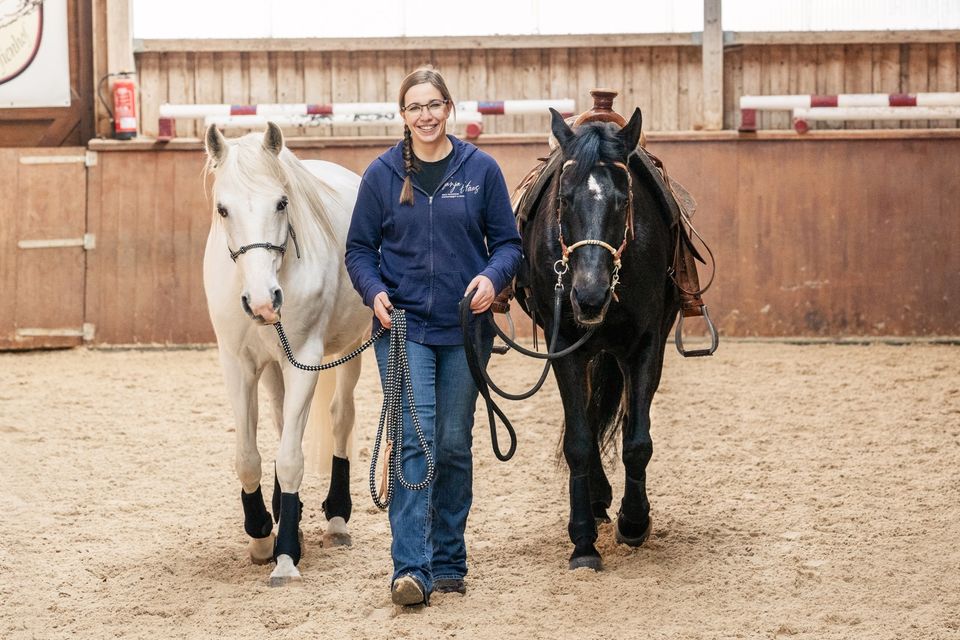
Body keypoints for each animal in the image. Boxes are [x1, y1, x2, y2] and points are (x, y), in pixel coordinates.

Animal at [202, 124, 372, 584]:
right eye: (222, 209)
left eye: (281, 202)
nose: (263, 302)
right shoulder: (237, 364)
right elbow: (249, 457)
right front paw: (262, 535)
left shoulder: (306, 362)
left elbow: (292, 458)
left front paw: (286, 555)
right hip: (275, 368)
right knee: (281, 422)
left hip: (354, 348)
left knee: (341, 418)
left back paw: (337, 518)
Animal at [516, 106, 684, 568]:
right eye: (563, 199)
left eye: (624, 201)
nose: (589, 296)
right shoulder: (563, 347)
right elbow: (578, 440)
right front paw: (583, 543)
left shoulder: (646, 345)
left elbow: (637, 439)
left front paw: (634, 522)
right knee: (588, 423)